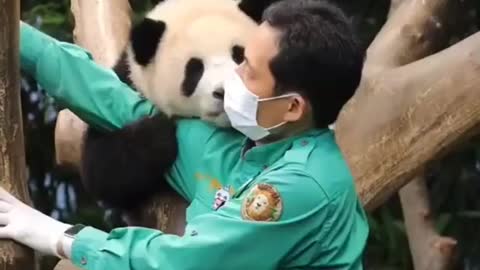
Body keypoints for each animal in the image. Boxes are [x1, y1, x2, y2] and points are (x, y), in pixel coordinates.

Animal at [80, 0, 280, 220]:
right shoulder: (127, 81)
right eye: (195, 69)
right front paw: (157, 132)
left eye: (240, 56)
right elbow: (101, 167)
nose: (225, 92)